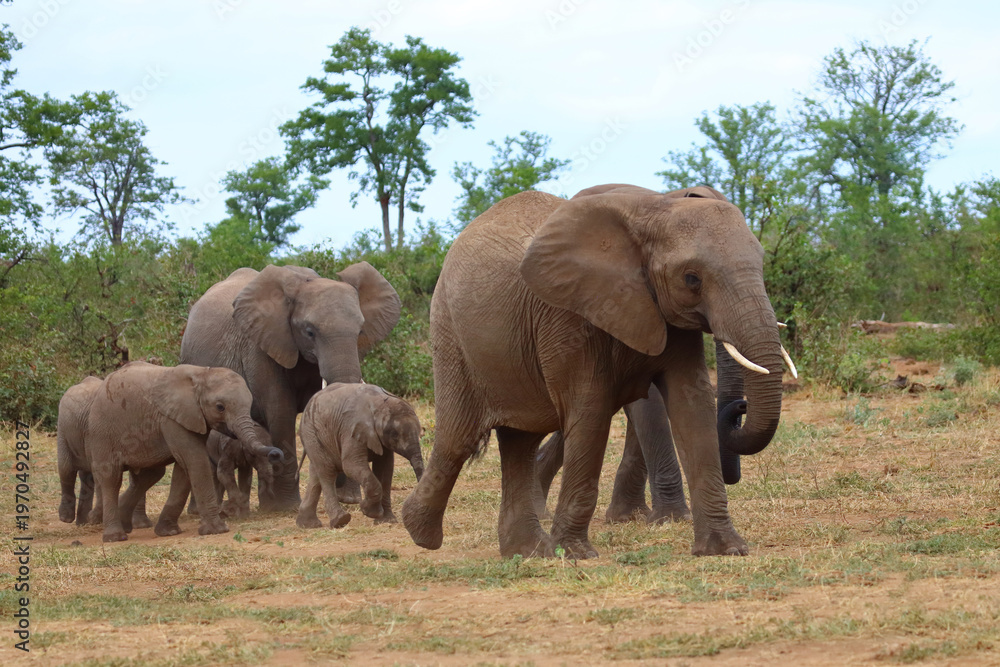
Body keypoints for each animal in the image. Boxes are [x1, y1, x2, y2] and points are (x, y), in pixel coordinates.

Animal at [57, 375, 155, 528]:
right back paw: (67, 518)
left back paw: (83, 523)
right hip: (63, 429)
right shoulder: (94, 432)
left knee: (85, 476)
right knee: (66, 468)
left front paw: (141, 525)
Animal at [86, 361, 266, 542]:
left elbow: (183, 470)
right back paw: (115, 537)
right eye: (220, 407)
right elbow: (195, 461)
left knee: (148, 476)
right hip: (102, 433)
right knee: (111, 477)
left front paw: (168, 532)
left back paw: (125, 523)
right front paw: (217, 530)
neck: (202, 373)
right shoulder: (172, 420)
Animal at [180, 263, 401, 512]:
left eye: (361, 331)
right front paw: (288, 507)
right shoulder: (261, 346)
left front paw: (349, 499)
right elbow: (281, 411)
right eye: (309, 332)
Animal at [297, 383, 424, 529]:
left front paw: (387, 521)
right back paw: (340, 521)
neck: (379, 404)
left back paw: (307, 525)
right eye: (394, 435)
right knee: (327, 471)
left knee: (316, 473)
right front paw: (368, 510)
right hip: (311, 433)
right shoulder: (351, 429)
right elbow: (351, 465)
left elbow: (385, 468)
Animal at [402, 184, 790, 559]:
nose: (740, 407)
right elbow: (591, 409)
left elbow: (691, 405)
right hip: (451, 333)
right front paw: (575, 553)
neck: (656, 207)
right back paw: (420, 532)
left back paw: (527, 552)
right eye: (692, 278)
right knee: (458, 438)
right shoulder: (567, 314)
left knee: (520, 441)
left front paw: (726, 550)